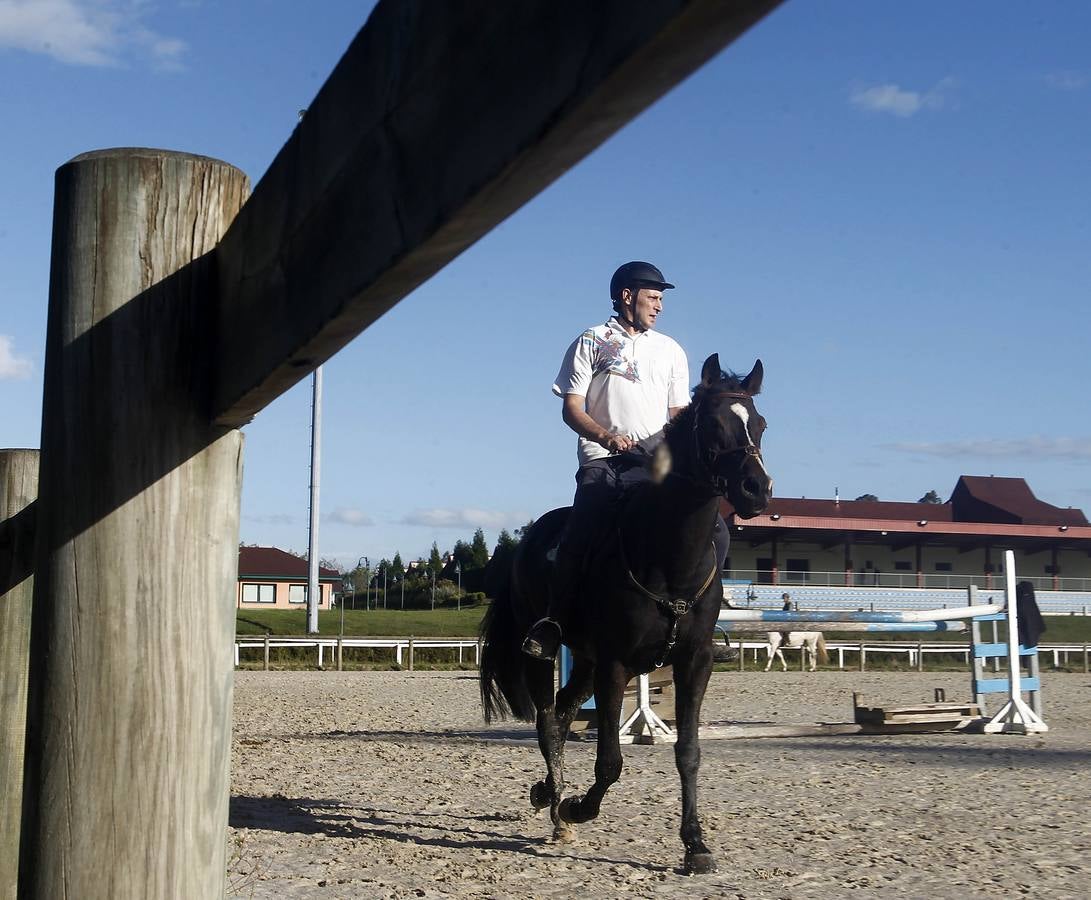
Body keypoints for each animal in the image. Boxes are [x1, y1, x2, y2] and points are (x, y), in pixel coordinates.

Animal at [482, 355, 772, 872]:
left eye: (759, 424)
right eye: (713, 424)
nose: (756, 489)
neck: (668, 555)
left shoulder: (693, 662)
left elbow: (688, 751)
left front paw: (695, 845)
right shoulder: (616, 664)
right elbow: (610, 761)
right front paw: (579, 807)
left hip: (586, 661)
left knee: (562, 715)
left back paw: (551, 799)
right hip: (547, 655)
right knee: (546, 721)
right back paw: (558, 809)